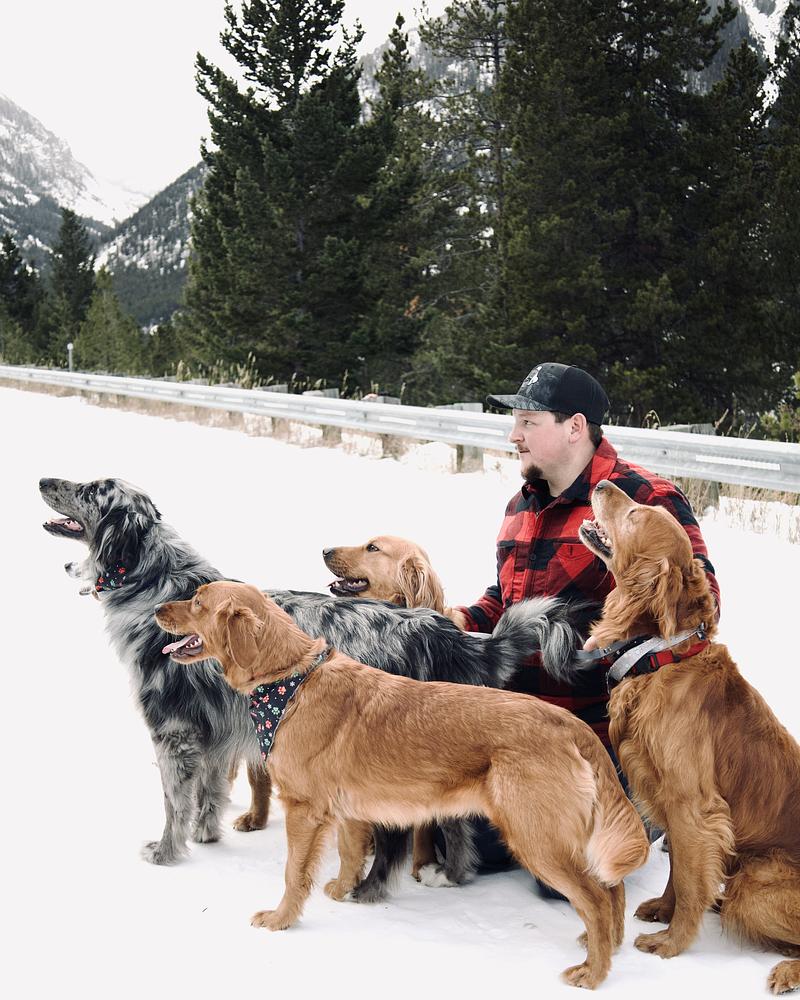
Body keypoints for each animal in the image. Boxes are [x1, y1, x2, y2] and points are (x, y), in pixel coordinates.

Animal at [39, 477, 584, 898]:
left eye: (90, 488)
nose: (43, 479)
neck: (156, 580)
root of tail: (441, 630)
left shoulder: (173, 729)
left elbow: (175, 802)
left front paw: (166, 852)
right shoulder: (215, 731)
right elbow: (210, 794)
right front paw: (206, 836)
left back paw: (370, 889)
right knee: (457, 827)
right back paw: (447, 877)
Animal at [155, 580, 650, 990]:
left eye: (197, 602)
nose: (159, 608)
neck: (291, 682)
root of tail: (569, 723)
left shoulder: (303, 809)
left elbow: (295, 874)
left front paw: (281, 920)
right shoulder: (349, 810)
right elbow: (351, 854)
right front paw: (344, 891)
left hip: (537, 837)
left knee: (596, 897)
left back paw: (594, 972)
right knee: (612, 889)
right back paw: (606, 945)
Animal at [570, 479, 800, 995]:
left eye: (635, 514)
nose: (602, 482)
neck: (660, 656)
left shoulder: (695, 807)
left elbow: (694, 881)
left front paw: (671, 942)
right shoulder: (669, 800)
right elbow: (679, 869)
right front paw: (662, 909)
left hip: (754, 885)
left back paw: (786, 970)